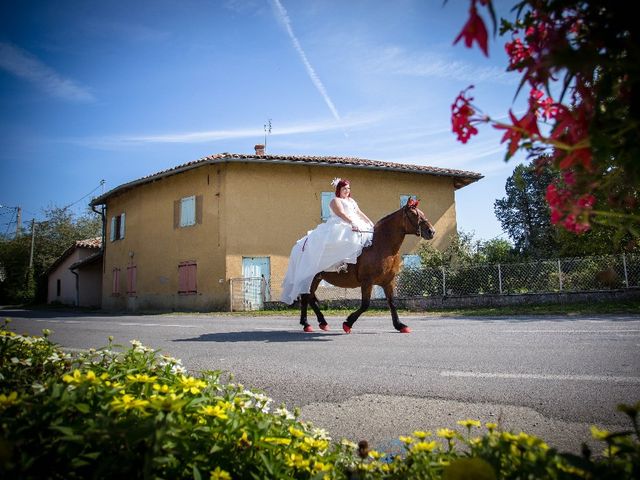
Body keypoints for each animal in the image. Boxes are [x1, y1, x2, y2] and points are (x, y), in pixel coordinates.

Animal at [300, 200, 436, 334]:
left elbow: (391, 302)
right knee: (306, 297)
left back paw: (321, 322)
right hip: (311, 278)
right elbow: (365, 304)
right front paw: (348, 323)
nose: (431, 231)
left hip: (316, 278)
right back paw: (307, 324)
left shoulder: (389, 282)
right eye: (413, 214)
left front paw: (399, 325)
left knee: (309, 297)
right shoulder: (367, 281)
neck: (380, 246)